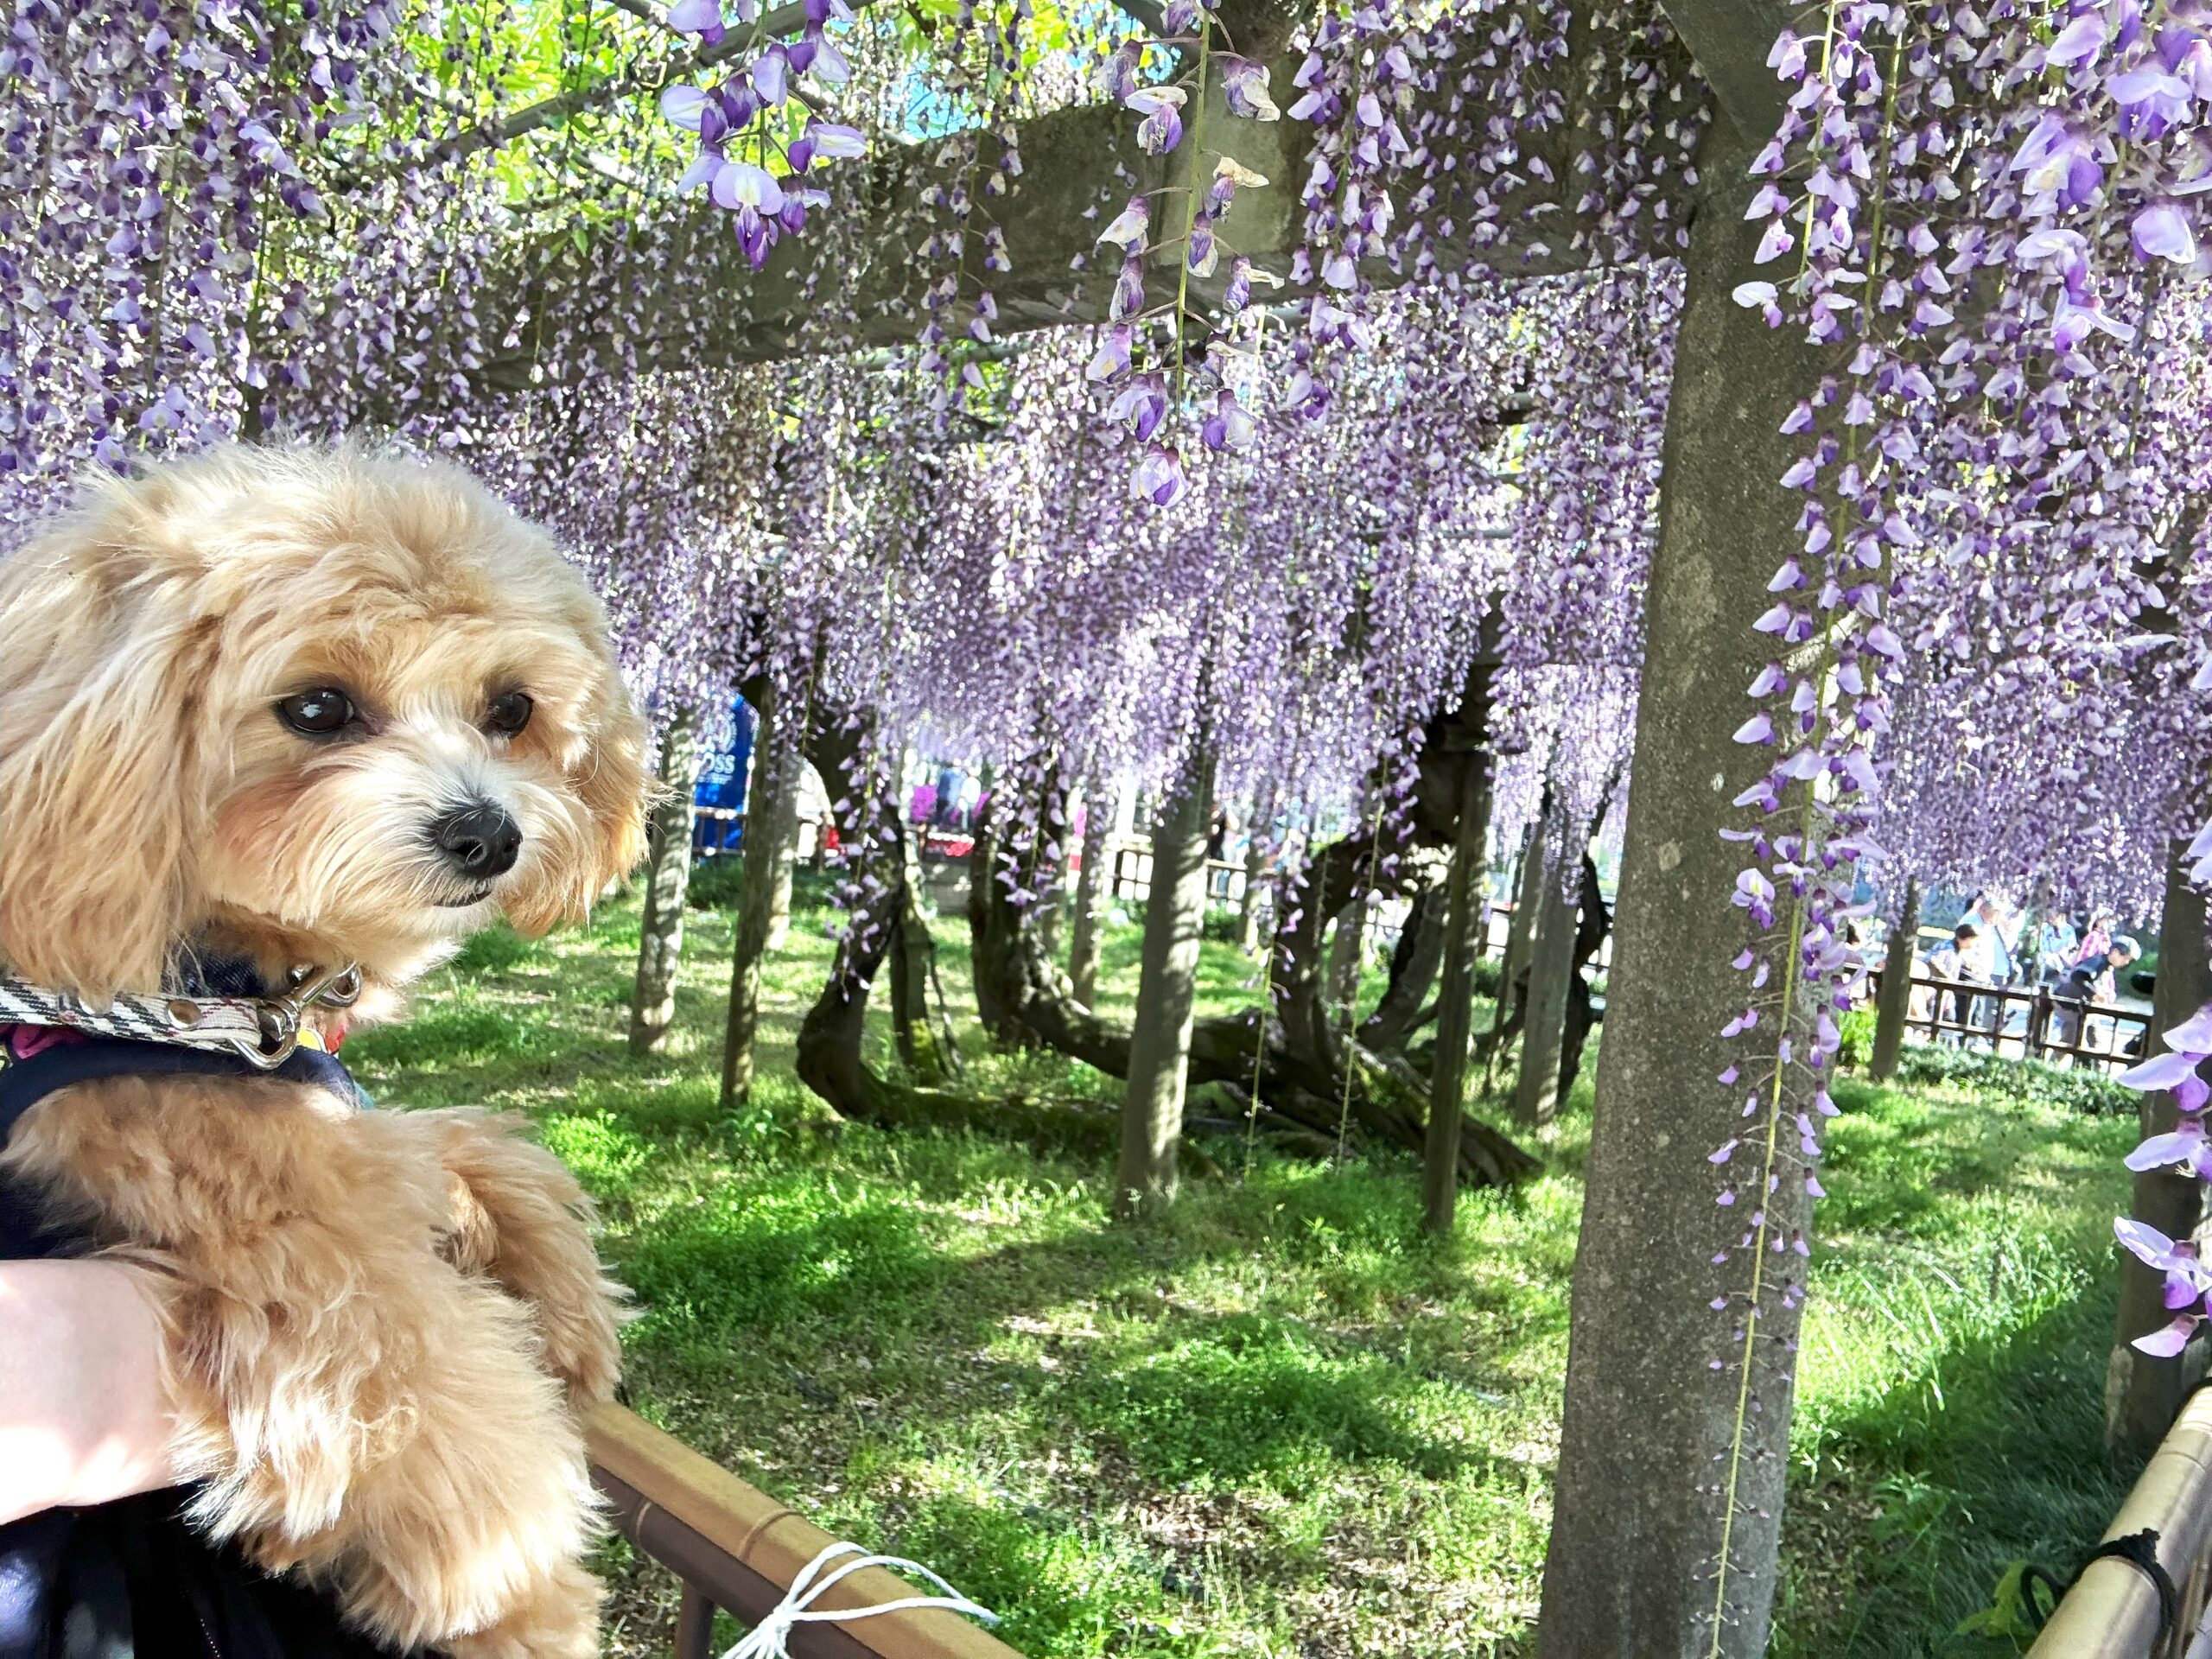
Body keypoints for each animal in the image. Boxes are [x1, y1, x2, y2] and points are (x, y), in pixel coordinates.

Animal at [0, 448, 645, 1659]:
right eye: (316, 707)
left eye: (511, 709)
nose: (489, 834)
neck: (217, 993)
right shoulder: (265, 1213)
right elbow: (421, 1374)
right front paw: (517, 1588)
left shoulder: (322, 1115)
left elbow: (460, 1143)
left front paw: (568, 1304)